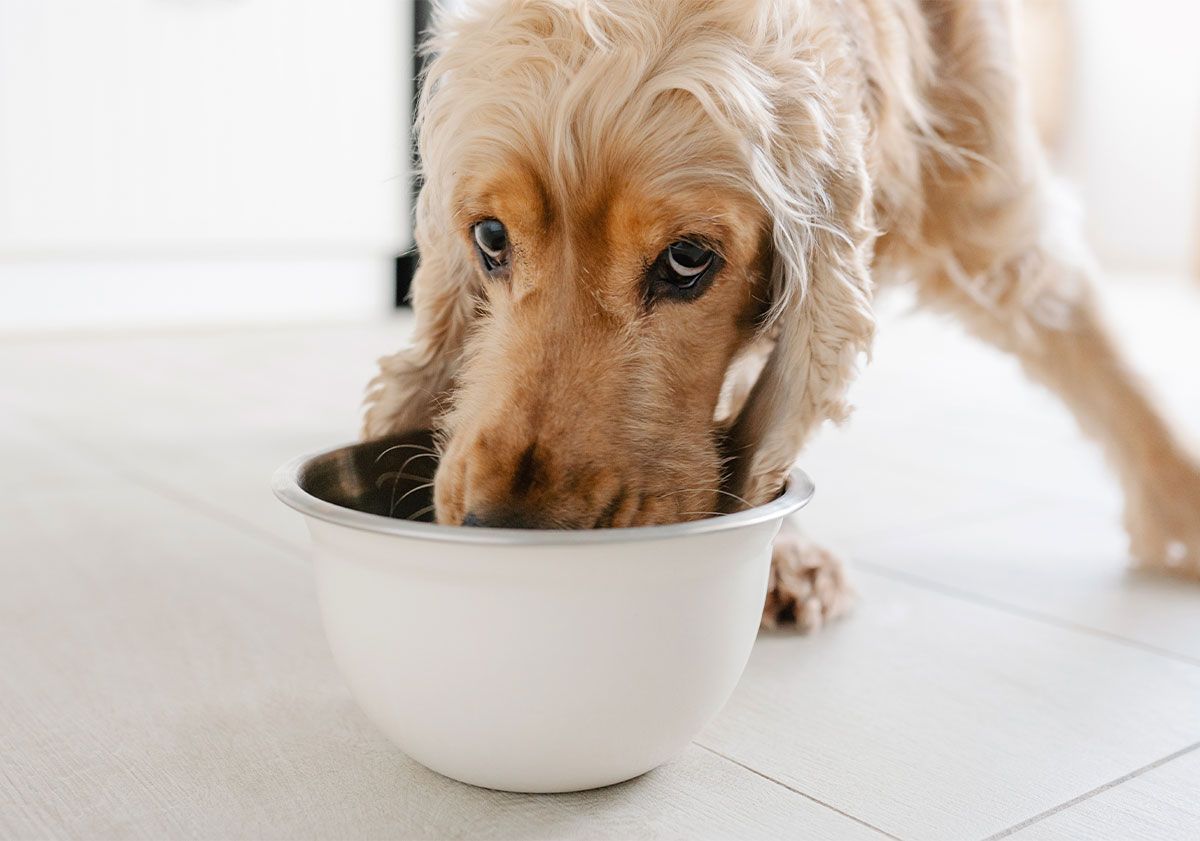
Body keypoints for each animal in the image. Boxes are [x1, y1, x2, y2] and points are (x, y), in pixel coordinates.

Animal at [362, 0, 1200, 628]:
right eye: (490, 237)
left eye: (687, 259)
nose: (508, 527)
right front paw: (786, 554)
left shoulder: (998, 212)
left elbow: (1106, 367)